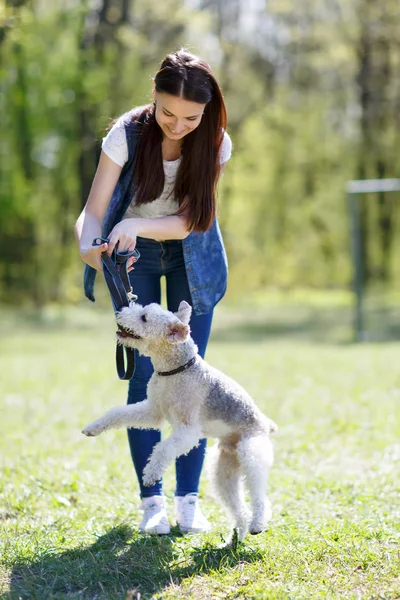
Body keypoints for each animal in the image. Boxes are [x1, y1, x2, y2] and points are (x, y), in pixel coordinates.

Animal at [83, 302, 276, 540]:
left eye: (144, 317)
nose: (119, 312)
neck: (174, 370)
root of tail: (266, 424)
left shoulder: (188, 430)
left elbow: (163, 449)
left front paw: (151, 473)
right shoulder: (152, 411)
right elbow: (118, 413)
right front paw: (93, 428)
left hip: (252, 452)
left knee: (259, 496)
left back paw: (257, 524)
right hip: (224, 470)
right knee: (239, 507)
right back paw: (236, 538)